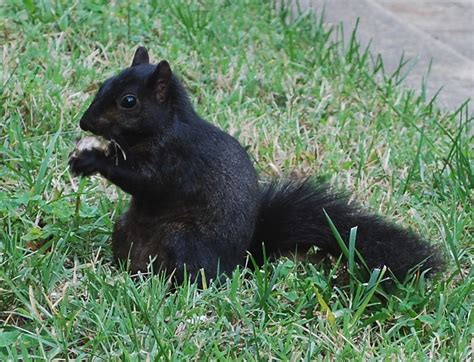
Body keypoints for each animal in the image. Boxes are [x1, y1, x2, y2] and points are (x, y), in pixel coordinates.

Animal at [68, 46, 442, 284]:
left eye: (128, 101)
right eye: (105, 83)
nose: (85, 122)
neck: (163, 127)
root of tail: (238, 264)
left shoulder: (176, 159)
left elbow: (143, 180)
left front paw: (91, 159)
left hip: (181, 240)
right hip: (125, 229)